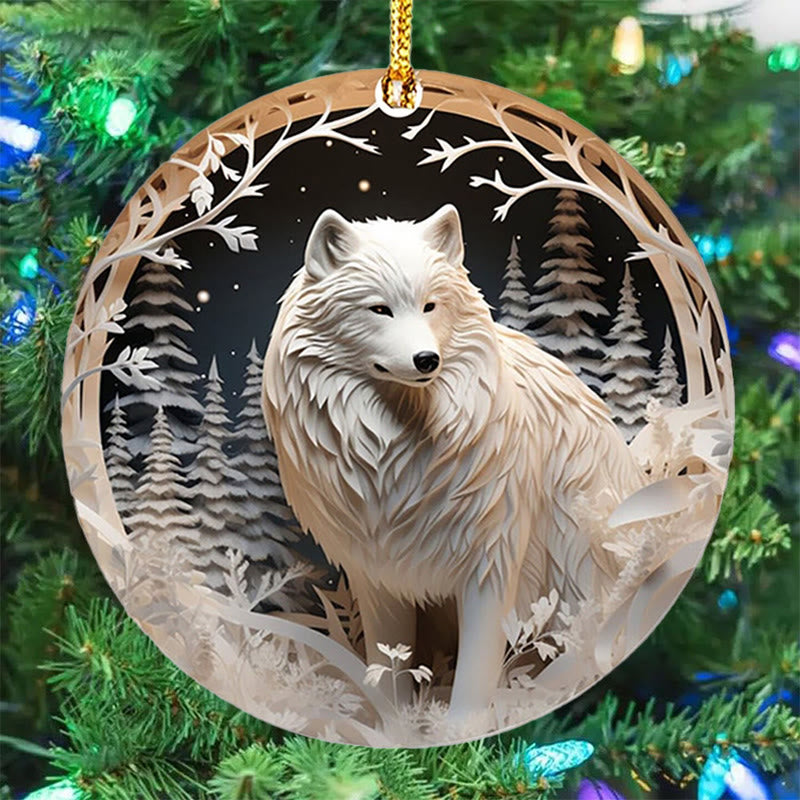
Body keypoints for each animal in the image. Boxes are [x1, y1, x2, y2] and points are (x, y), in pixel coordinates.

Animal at [262, 204, 645, 724]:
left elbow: (475, 675)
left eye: (430, 306)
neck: (394, 457)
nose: (427, 359)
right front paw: (396, 729)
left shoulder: (492, 565)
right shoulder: (378, 573)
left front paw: (461, 731)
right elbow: (388, 666)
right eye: (379, 309)